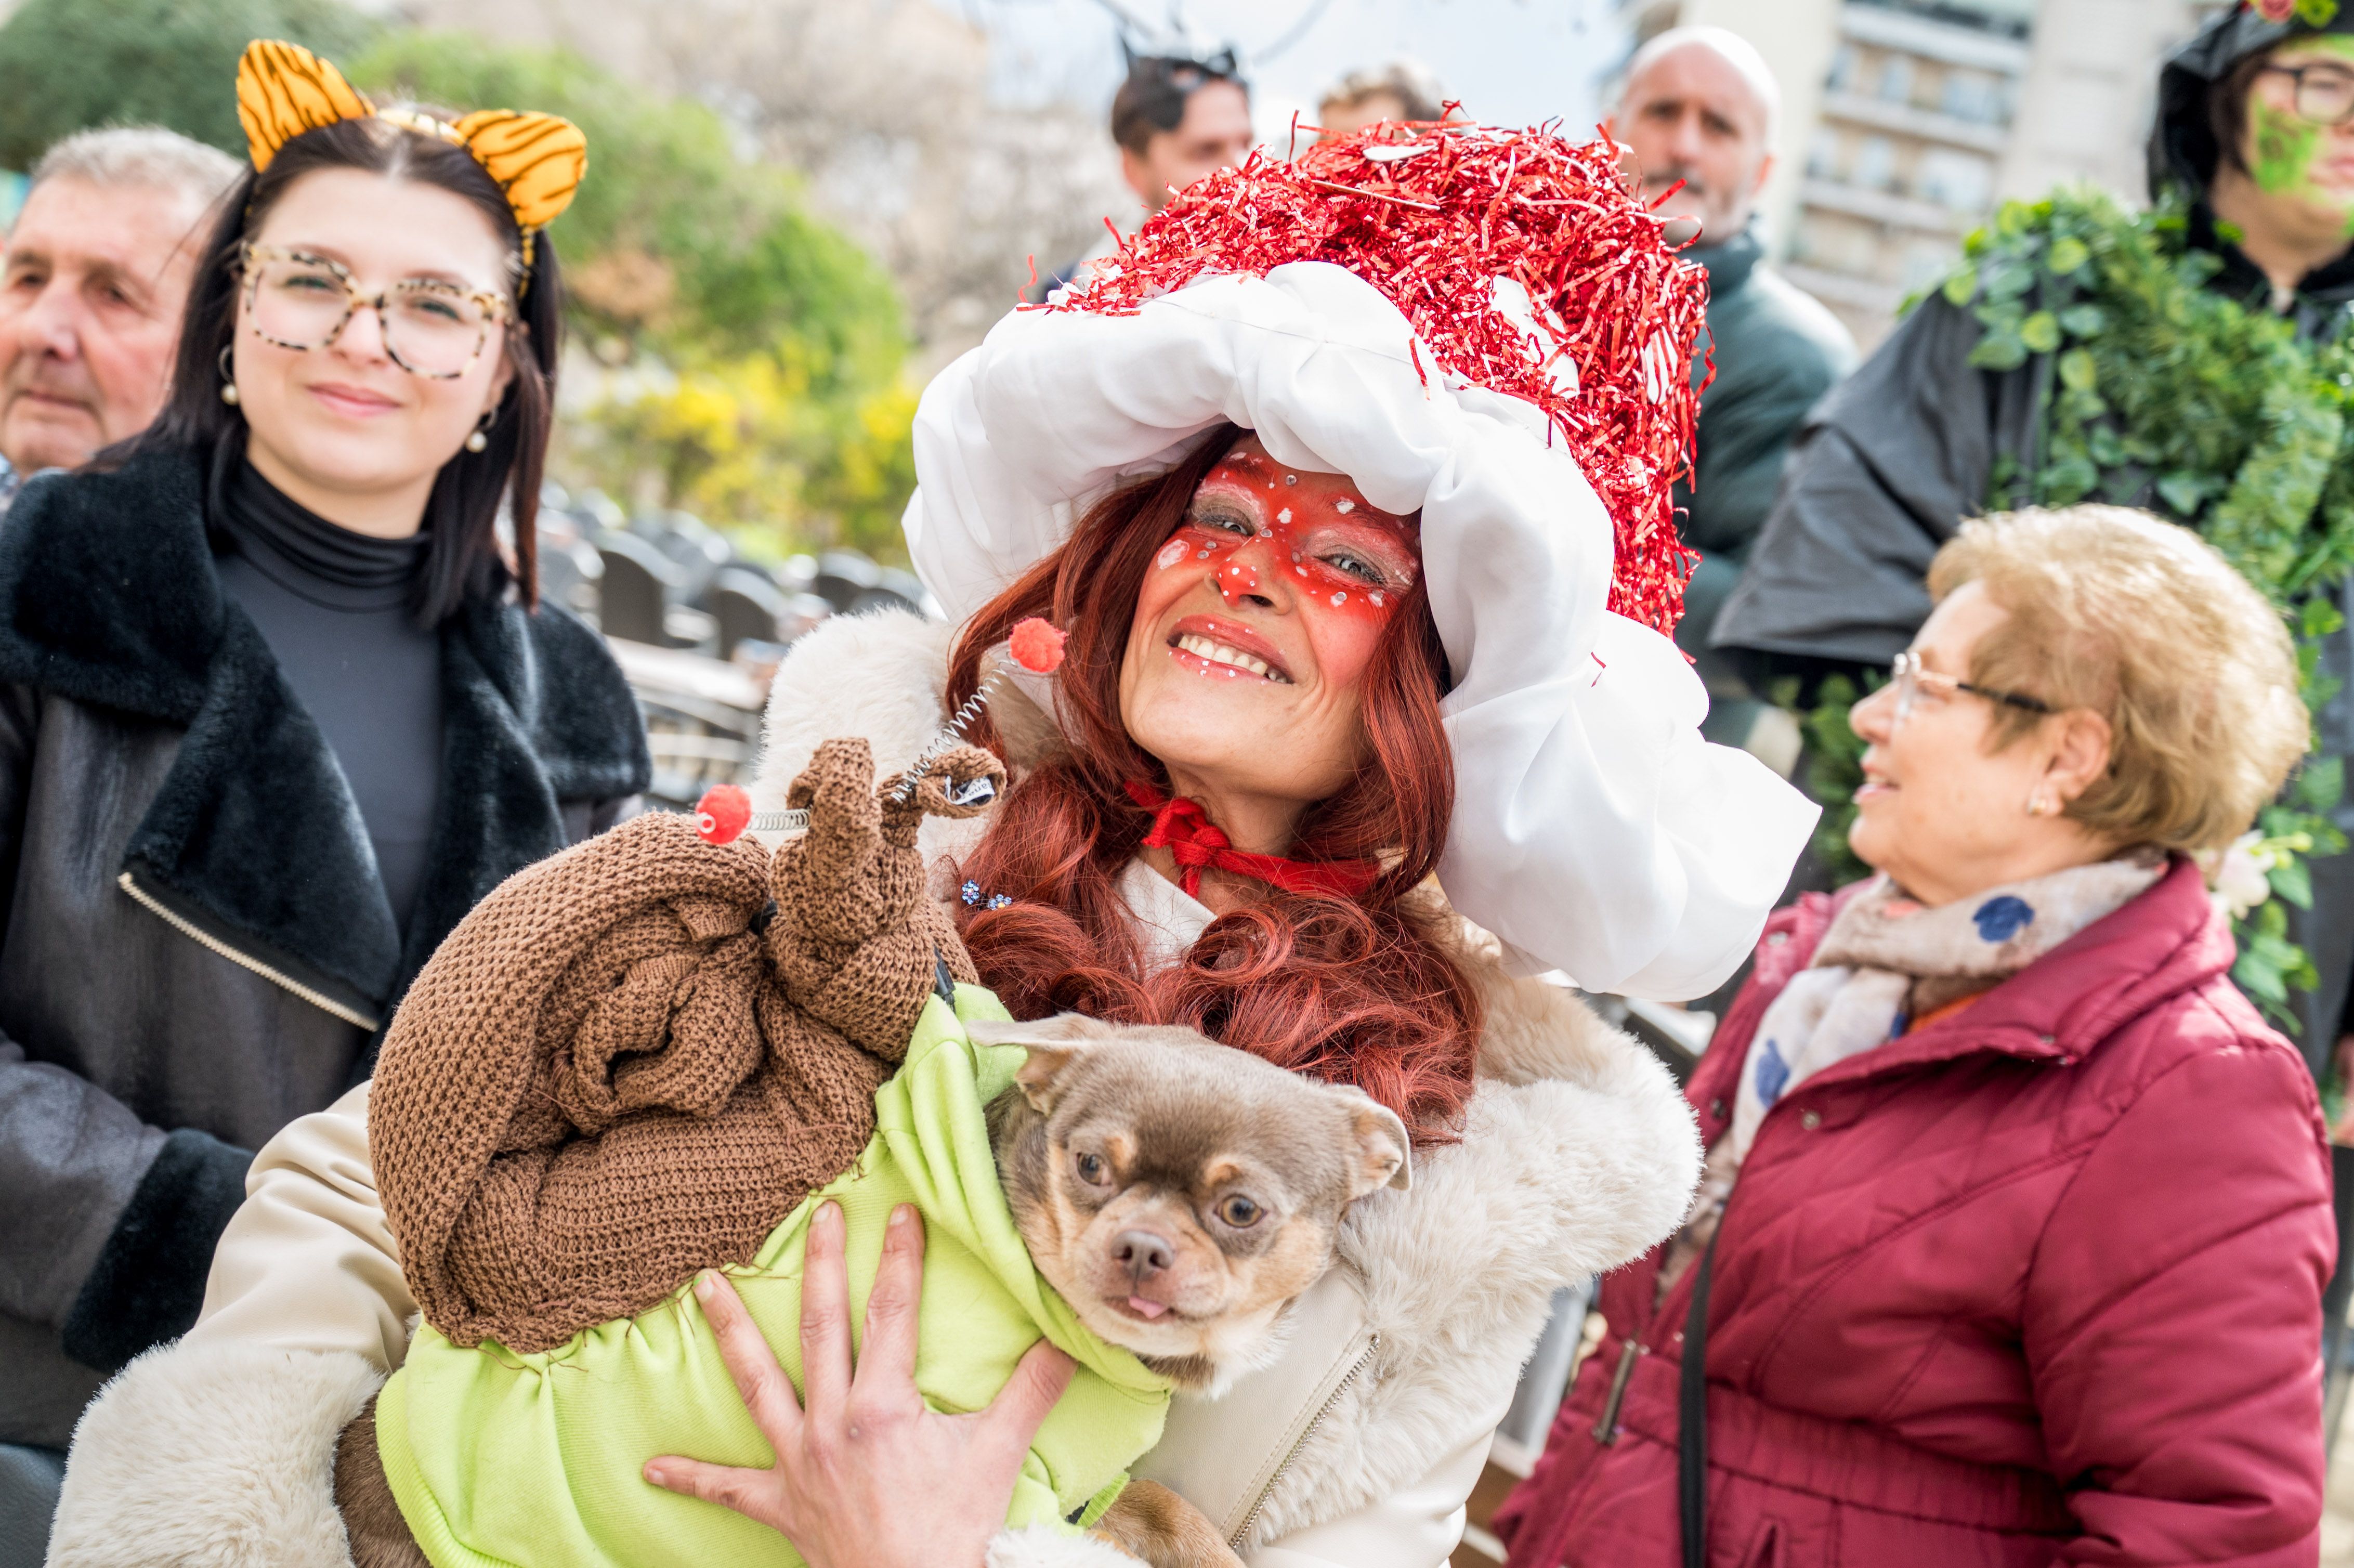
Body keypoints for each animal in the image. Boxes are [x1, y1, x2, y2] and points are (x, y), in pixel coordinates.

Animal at [341, 1008, 1403, 1553]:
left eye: (1242, 1211)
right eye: (1091, 1167)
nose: (1142, 1246)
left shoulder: (1079, 1490)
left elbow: (1167, 1510)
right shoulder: (1004, 1497)